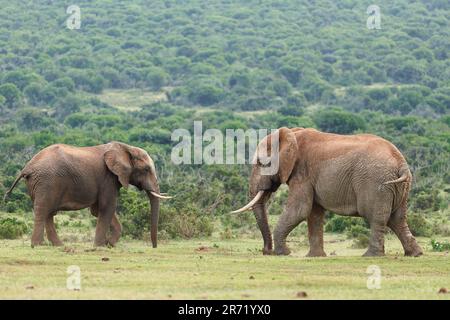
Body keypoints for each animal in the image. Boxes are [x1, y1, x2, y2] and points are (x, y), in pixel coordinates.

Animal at [3, 142, 171, 248]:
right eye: (146, 169)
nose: (154, 247)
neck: (125, 148)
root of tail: (27, 167)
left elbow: (98, 210)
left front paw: (109, 244)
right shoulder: (108, 178)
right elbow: (107, 207)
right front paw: (101, 246)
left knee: (48, 213)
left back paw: (58, 246)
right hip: (47, 181)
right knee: (43, 210)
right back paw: (37, 246)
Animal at [232, 127, 422, 258]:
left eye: (260, 163)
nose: (266, 251)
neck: (292, 134)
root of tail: (401, 162)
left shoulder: (303, 172)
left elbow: (299, 210)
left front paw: (284, 253)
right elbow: (314, 213)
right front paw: (314, 257)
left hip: (375, 183)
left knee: (377, 217)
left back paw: (370, 256)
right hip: (400, 187)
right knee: (397, 219)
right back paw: (415, 254)